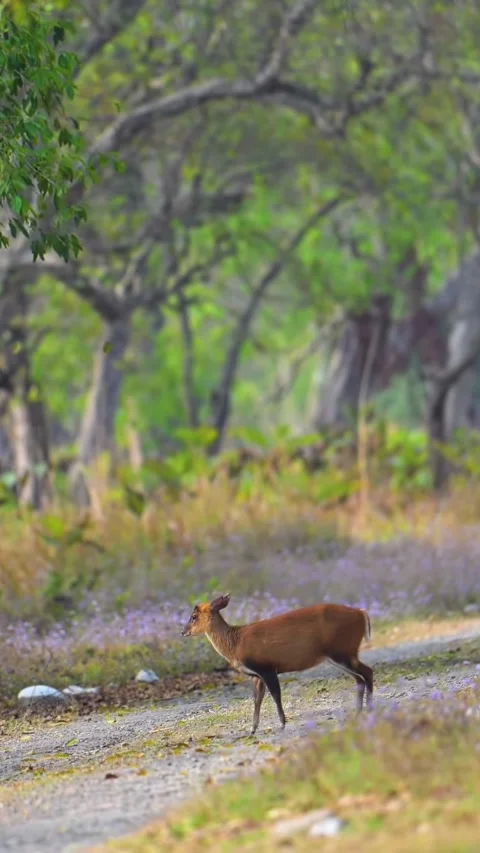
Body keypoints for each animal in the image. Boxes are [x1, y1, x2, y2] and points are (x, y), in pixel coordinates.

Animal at [181, 594, 373, 735]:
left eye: (193, 616)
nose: (183, 632)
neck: (235, 644)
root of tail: (362, 613)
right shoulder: (256, 675)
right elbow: (257, 700)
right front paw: (252, 729)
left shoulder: (266, 667)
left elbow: (275, 695)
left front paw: (281, 724)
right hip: (339, 655)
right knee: (359, 678)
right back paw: (358, 711)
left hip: (343, 651)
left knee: (368, 672)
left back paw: (369, 709)